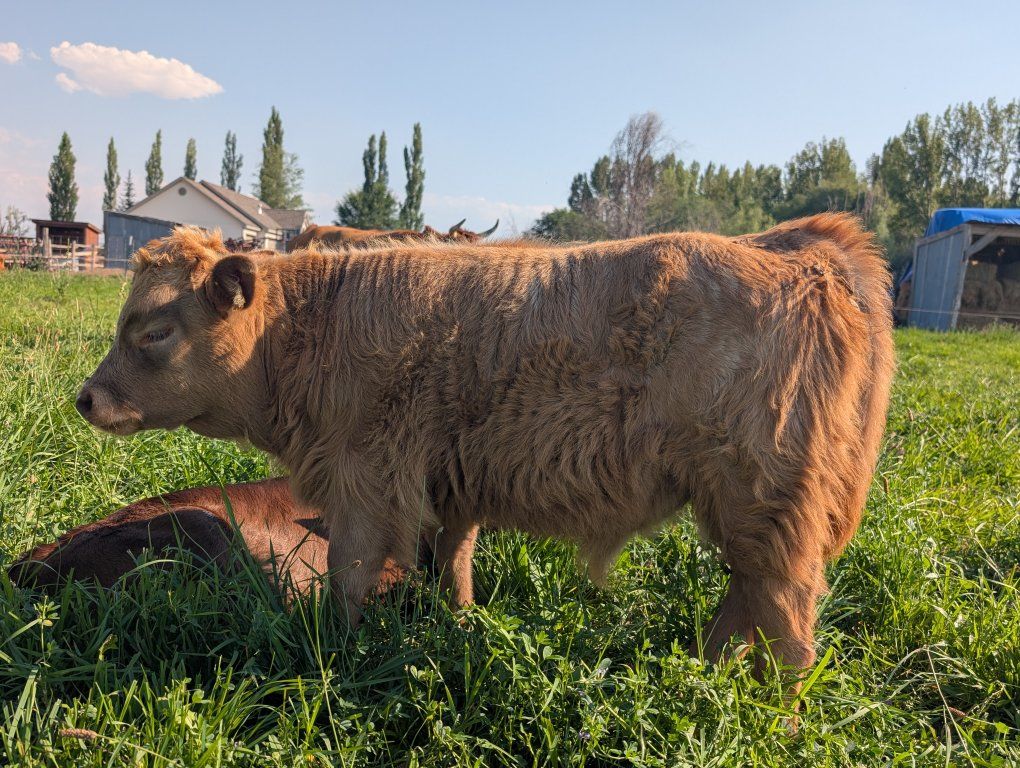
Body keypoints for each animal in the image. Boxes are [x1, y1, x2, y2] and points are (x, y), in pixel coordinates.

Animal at [75, 213, 895, 675]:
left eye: (155, 330)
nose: (86, 398)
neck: (309, 324)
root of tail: (805, 250)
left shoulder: (365, 480)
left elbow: (350, 574)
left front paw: (335, 653)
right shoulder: (450, 484)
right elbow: (455, 566)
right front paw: (460, 627)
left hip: (766, 499)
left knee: (786, 619)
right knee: (748, 600)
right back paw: (703, 676)